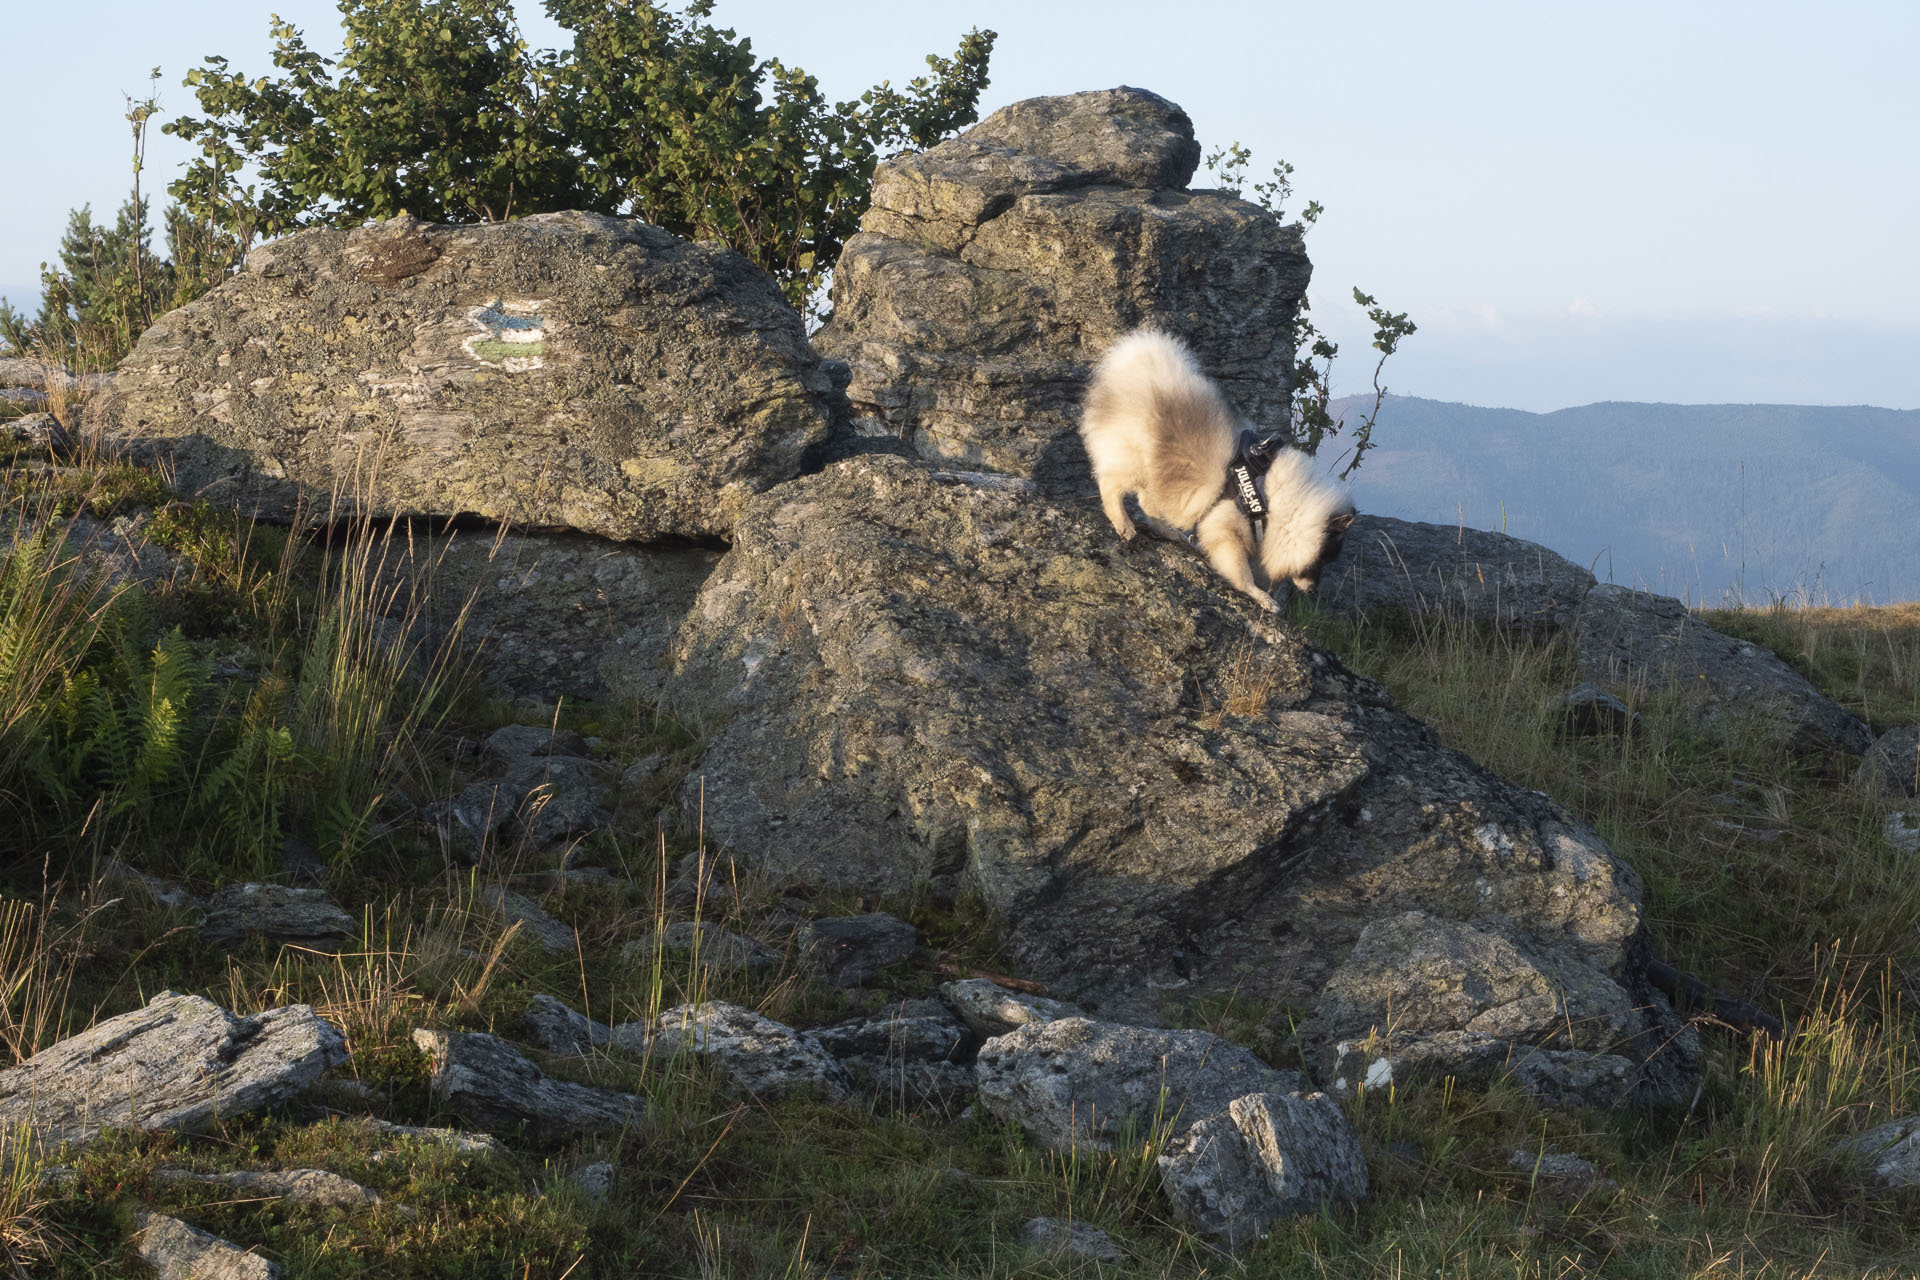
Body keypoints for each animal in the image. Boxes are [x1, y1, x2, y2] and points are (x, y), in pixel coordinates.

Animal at [1082, 328, 1351, 614]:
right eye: (1320, 561)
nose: (1313, 591)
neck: (1271, 503)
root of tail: (1133, 365)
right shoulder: (1227, 532)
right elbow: (1241, 574)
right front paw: (1262, 597)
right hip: (1133, 462)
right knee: (1111, 488)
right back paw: (1124, 525)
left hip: (1160, 475)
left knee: (1149, 506)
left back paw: (1172, 533)